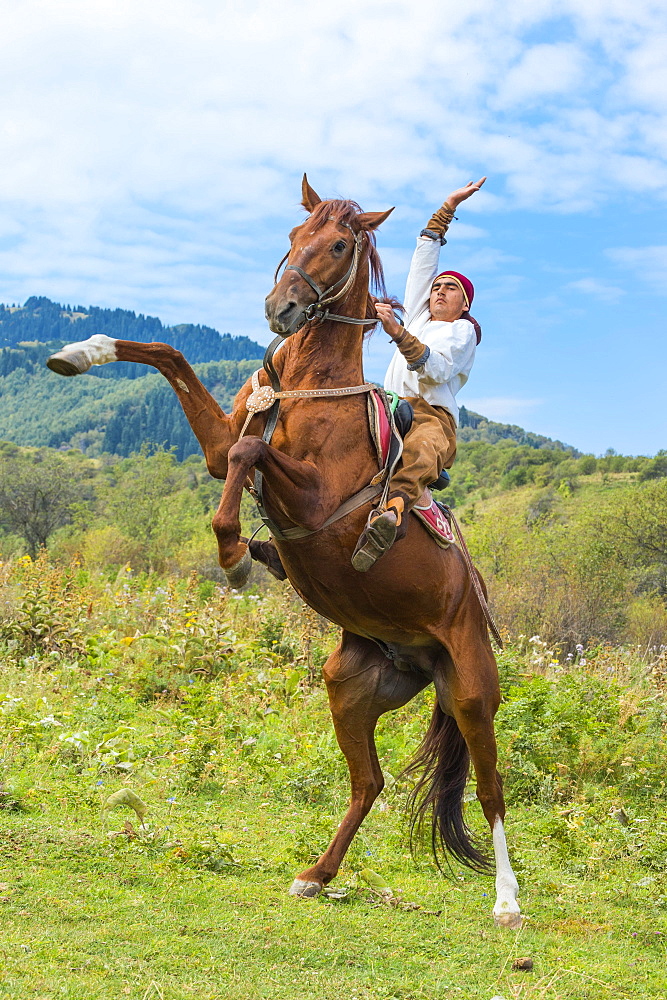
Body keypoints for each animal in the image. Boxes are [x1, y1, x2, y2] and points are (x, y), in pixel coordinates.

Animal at [47, 174, 524, 928]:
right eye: (293, 237)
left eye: (338, 246)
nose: (280, 309)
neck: (306, 383)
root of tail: (434, 649)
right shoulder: (220, 443)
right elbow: (174, 362)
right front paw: (81, 351)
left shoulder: (318, 502)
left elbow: (252, 451)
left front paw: (235, 554)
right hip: (351, 686)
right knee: (369, 782)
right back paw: (317, 874)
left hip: (473, 689)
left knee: (490, 784)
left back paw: (507, 900)